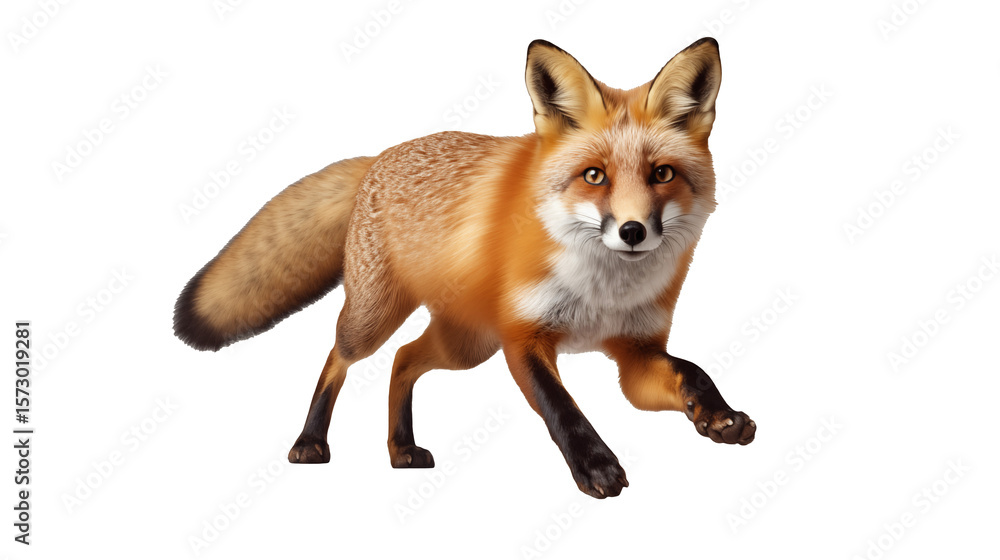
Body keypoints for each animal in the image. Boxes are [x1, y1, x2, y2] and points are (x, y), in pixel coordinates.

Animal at [174, 37, 755, 499]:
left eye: (662, 174)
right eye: (595, 176)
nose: (633, 231)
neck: (602, 291)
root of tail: (378, 157)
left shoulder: (635, 352)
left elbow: (692, 372)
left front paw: (718, 415)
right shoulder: (522, 338)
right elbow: (564, 408)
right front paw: (595, 466)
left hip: (465, 345)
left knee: (403, 360)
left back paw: (401, 448)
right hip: (379, 319)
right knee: (338, 358)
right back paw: (310, 441)